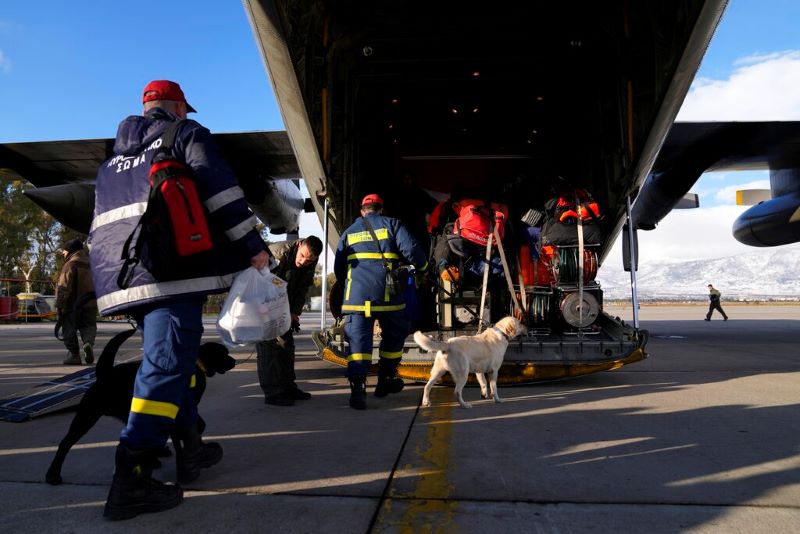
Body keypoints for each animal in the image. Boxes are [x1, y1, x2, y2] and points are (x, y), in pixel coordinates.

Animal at [46, 328, 234, 488]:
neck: (197, 365)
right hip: (86, 416)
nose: (233, 360)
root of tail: (104, 374)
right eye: (224, 354)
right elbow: (194, 427)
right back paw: (53, 474)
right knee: (65, 444)